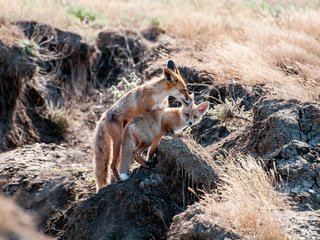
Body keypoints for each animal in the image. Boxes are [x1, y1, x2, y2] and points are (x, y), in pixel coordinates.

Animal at [94, 60, 191, 191]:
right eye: (184, 90)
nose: (190, 100)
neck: (158, 97)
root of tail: (104, 116)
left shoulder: (160, 111)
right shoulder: (146, 114)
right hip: (118, 141)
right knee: (113, 164)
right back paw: (119, 178)